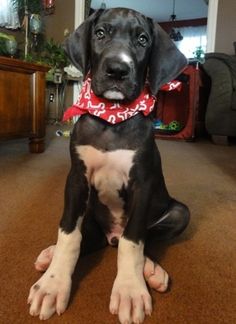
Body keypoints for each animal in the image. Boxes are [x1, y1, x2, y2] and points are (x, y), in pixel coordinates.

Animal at [27, 7, 190, 324]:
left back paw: (151, 269)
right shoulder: (76, 180)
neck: (111, 118)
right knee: (86, 237)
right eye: (100, 33)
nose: (117, 69)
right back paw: (50, 254)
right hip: (91, 211)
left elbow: (133, 241)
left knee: (147, 237)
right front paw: (53, 285)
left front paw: (129, 289)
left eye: (142, 40)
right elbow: (69, 236)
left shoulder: (143, 184)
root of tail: (109, 236)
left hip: (179, 212)